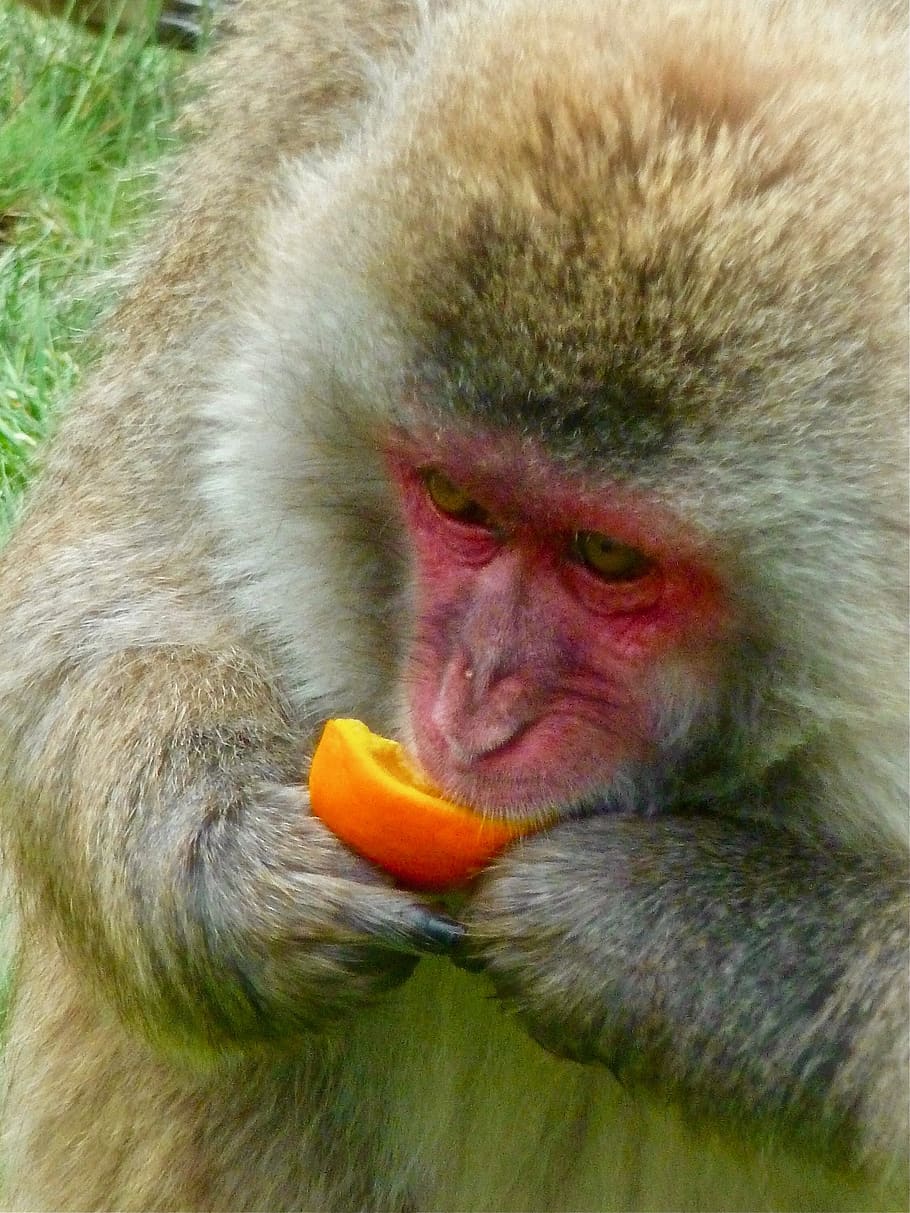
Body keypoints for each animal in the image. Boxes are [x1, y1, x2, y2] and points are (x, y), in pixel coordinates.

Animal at [0, 0, 907, 1209]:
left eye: (608, 557)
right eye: (459, 500)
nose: (475, 705)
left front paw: (664, 926)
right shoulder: (310, 92)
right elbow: (98, 575)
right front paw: (231, 857)